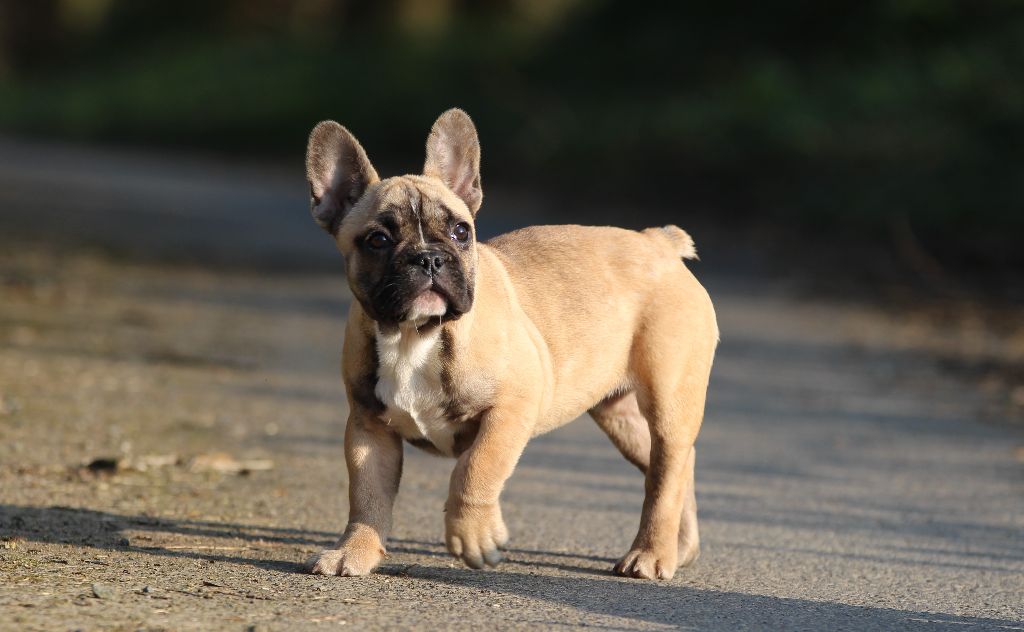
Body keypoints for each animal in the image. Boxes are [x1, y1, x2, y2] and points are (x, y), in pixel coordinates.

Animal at [303, 107, 720, 577]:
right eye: (378, 240)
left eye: (461, 232)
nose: (429, 258)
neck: (417, 334)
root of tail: (659, 243)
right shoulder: (368, 426)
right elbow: (367, 494)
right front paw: (354, 550)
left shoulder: (512, 407)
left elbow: (475, 470)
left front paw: (474, 538)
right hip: (621, 415)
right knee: (674, 466)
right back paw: (677, 547)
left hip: (668, 398)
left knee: (667, 468)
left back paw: (649, 554)